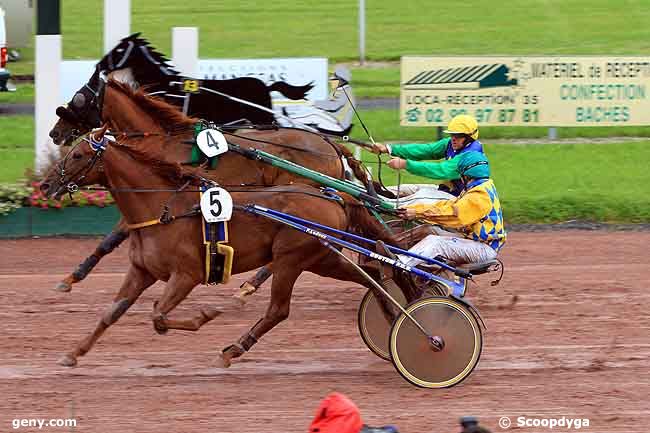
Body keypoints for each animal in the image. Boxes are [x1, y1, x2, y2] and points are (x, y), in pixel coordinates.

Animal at [39, 125, 410, 368]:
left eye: (78, 154)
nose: (45, 184)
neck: (163, 207)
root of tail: (333, 194)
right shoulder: (142, 270)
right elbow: (111, 313)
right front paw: (73, 353)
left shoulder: (186, 275)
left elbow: (159, 315)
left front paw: (205, 315)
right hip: (320, 258)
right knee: (372, 274)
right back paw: (394, 312)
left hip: (292, 259)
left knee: (279, 310)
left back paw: (232, 348)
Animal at [48, 77, 384, 294]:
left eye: (80, 98)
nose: (54, 132)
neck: (164, 141)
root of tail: (330, 143)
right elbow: (111, 241)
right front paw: (72, 277)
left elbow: (110, 239)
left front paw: (72, 277)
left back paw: (253, 283)